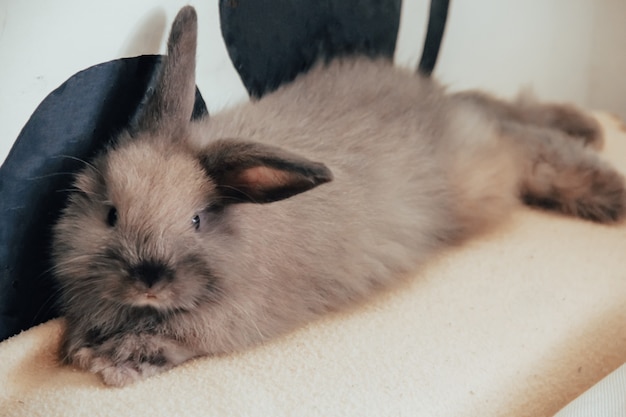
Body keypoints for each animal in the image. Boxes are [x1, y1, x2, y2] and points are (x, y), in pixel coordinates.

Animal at [51, 5, 620, 386]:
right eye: (110, 214)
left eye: (196, 220)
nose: (148, 280)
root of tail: (436, 103)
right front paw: (85, 346)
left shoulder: (233, 319)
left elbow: (187, 335)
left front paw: (112, 359)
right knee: (497, 107)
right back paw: (587, 132)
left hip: (480, 175)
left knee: (523, 138)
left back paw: (606, 183)